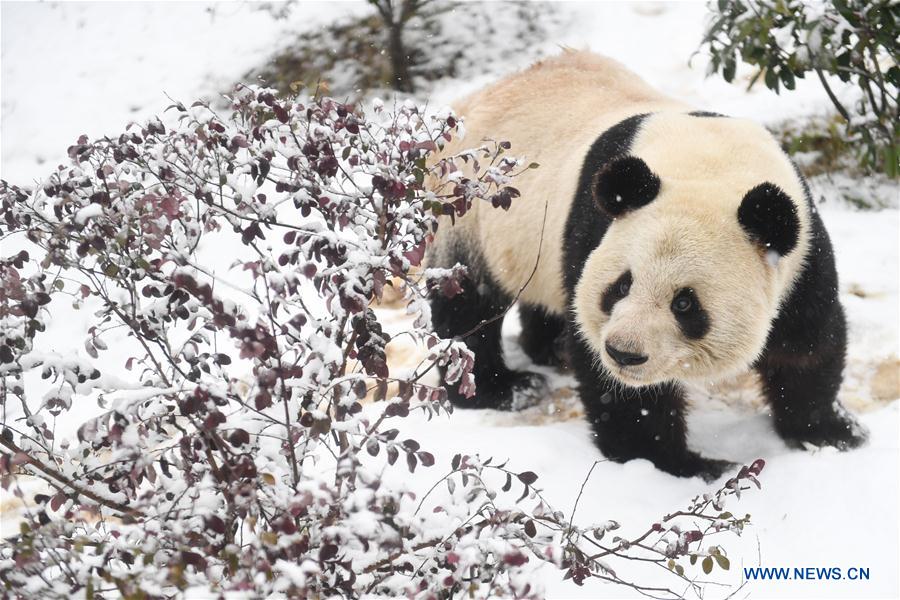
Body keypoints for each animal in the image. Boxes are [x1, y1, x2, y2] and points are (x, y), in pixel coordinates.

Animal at [428, 50, 867, 480]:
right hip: (468, 212)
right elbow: (623, 391)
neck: (708, 169)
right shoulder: (595, 231)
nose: (624, 353)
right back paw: (507, 388)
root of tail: (467, 102)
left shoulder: (800, 249)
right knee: (468, 310)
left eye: (685, 303)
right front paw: (685, 464)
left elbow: (806, 343)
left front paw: (832, 432)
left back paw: (550, 350)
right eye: (621, 286)